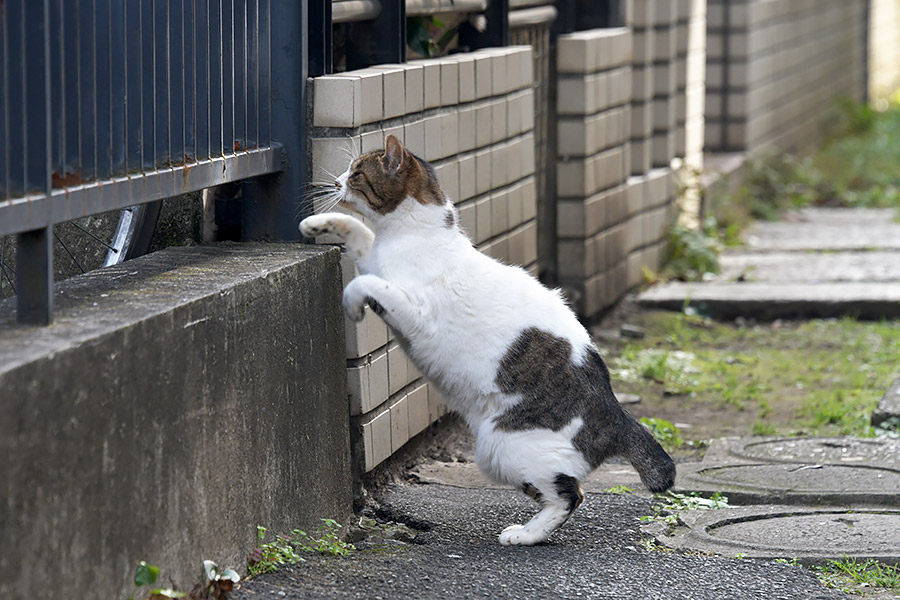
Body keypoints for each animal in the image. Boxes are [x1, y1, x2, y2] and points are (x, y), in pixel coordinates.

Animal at [302, 137, 676, 548]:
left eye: (356, 173)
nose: (336, 182)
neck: (411, 235)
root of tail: (614, 412)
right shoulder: (374, 258)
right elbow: (358, 232)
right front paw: (316, 224)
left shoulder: (414, 311)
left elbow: (364, 283)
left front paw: (351, 304)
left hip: (502, 446)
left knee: (570, 495)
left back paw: (526, 535)